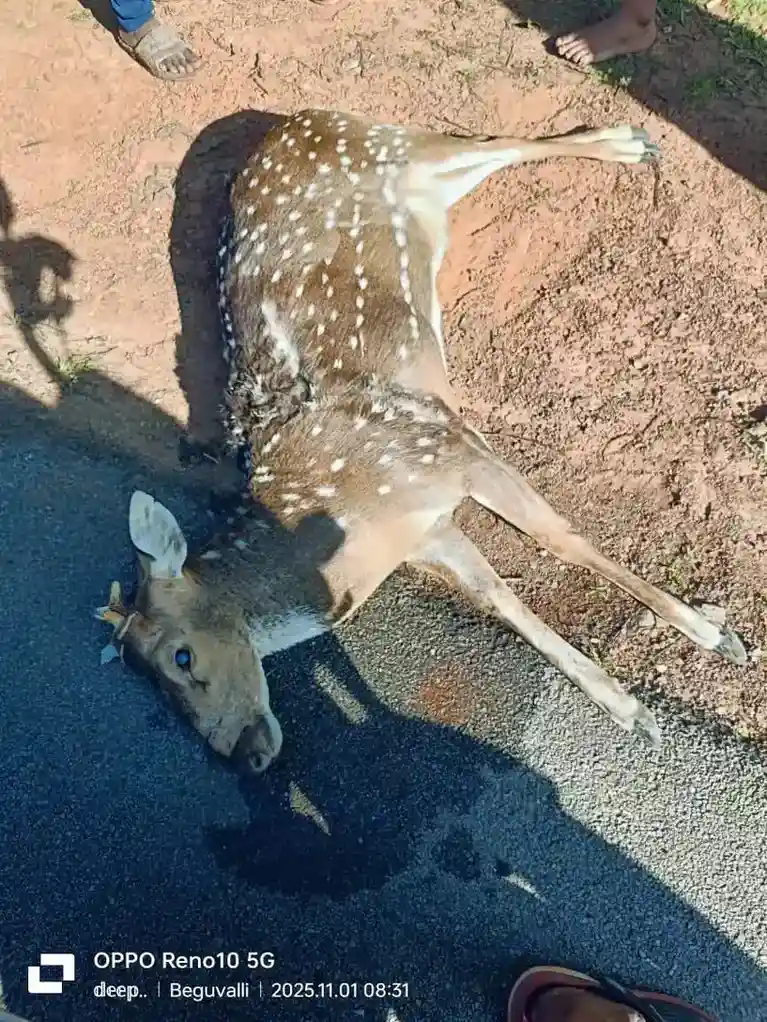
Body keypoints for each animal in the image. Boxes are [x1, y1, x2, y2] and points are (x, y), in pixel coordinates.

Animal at [96, 108, 747, 775]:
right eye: (149, 683)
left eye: (181, 657)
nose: (242, 756)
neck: (349, 517)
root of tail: (295, 119)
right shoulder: (428, 523)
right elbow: (497, 597)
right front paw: (629, 711)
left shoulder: (447, 441)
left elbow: (560, 540)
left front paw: (716, 634)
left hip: (401, 149)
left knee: (499, 142)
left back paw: (633, 144)